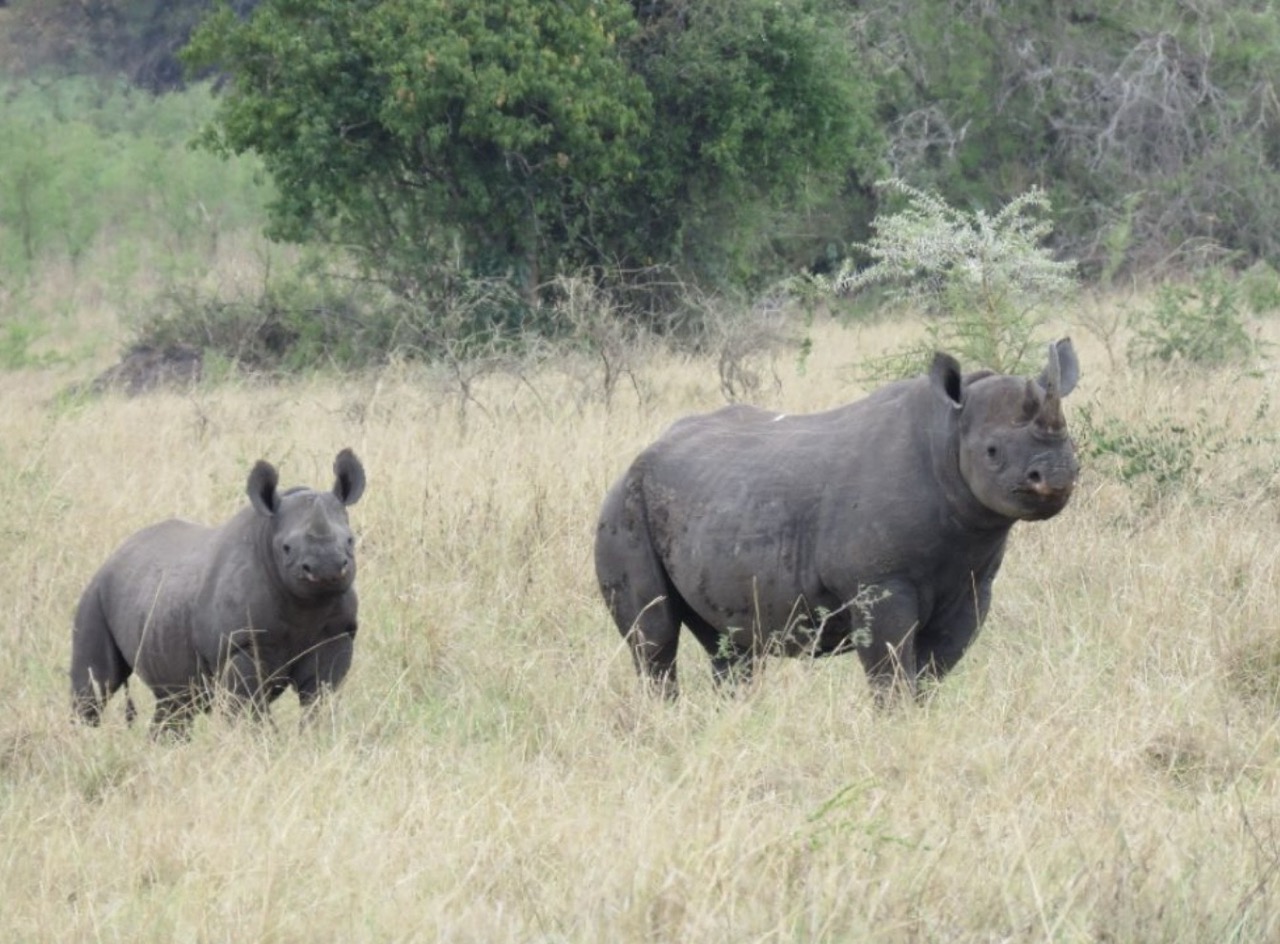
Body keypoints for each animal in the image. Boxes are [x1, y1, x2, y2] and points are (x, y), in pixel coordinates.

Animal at [71, 449, 367, 734]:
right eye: (286, 548)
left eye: (350, 540)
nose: (326, 567)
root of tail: (115, 554)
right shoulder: (241, 644)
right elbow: (249, 707)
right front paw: (260, 741)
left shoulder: (335, 636)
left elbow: (320, 698)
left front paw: (318, 737)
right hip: (96, 593)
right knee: (95, 686)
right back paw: (84, 737)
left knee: (176, 702)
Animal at [595, 340, 1080, 701]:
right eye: (992, 452)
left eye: (1070, 441)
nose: (1056, 474)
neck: (948, 433)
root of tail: (637, 458)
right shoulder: (879, 584)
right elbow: (890, 669)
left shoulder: (972, 583)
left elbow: (933, 669)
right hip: (624, 506)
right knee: (654, 640)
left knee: (730, 649)